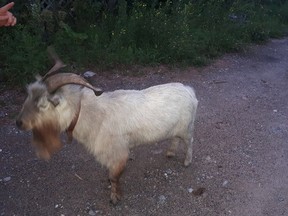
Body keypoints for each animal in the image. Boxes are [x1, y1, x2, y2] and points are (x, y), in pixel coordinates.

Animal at [16, 49, 198, 203]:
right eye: (28, 96)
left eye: (42, 104)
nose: (19, 123)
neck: (86, 113)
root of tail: (189, 90)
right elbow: (109, 174)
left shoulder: (119, 152)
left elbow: (114, 176)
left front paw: (114, 198)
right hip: (176, 128)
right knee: (175, 138)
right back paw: (170, 153)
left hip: (187, 127)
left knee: (189, 142)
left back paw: (187, 162)